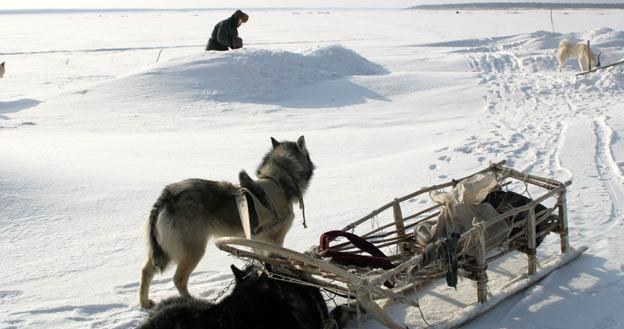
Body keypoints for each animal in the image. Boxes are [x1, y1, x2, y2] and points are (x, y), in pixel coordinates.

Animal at [136, 135, 312, 308]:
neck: (277, 180)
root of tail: (166, 196)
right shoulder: (274, 241)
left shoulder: (257, 242)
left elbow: (262, 264)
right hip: (194, 250)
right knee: (178, 279)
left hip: (162, 252)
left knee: (146, 271)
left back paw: (145, 302)